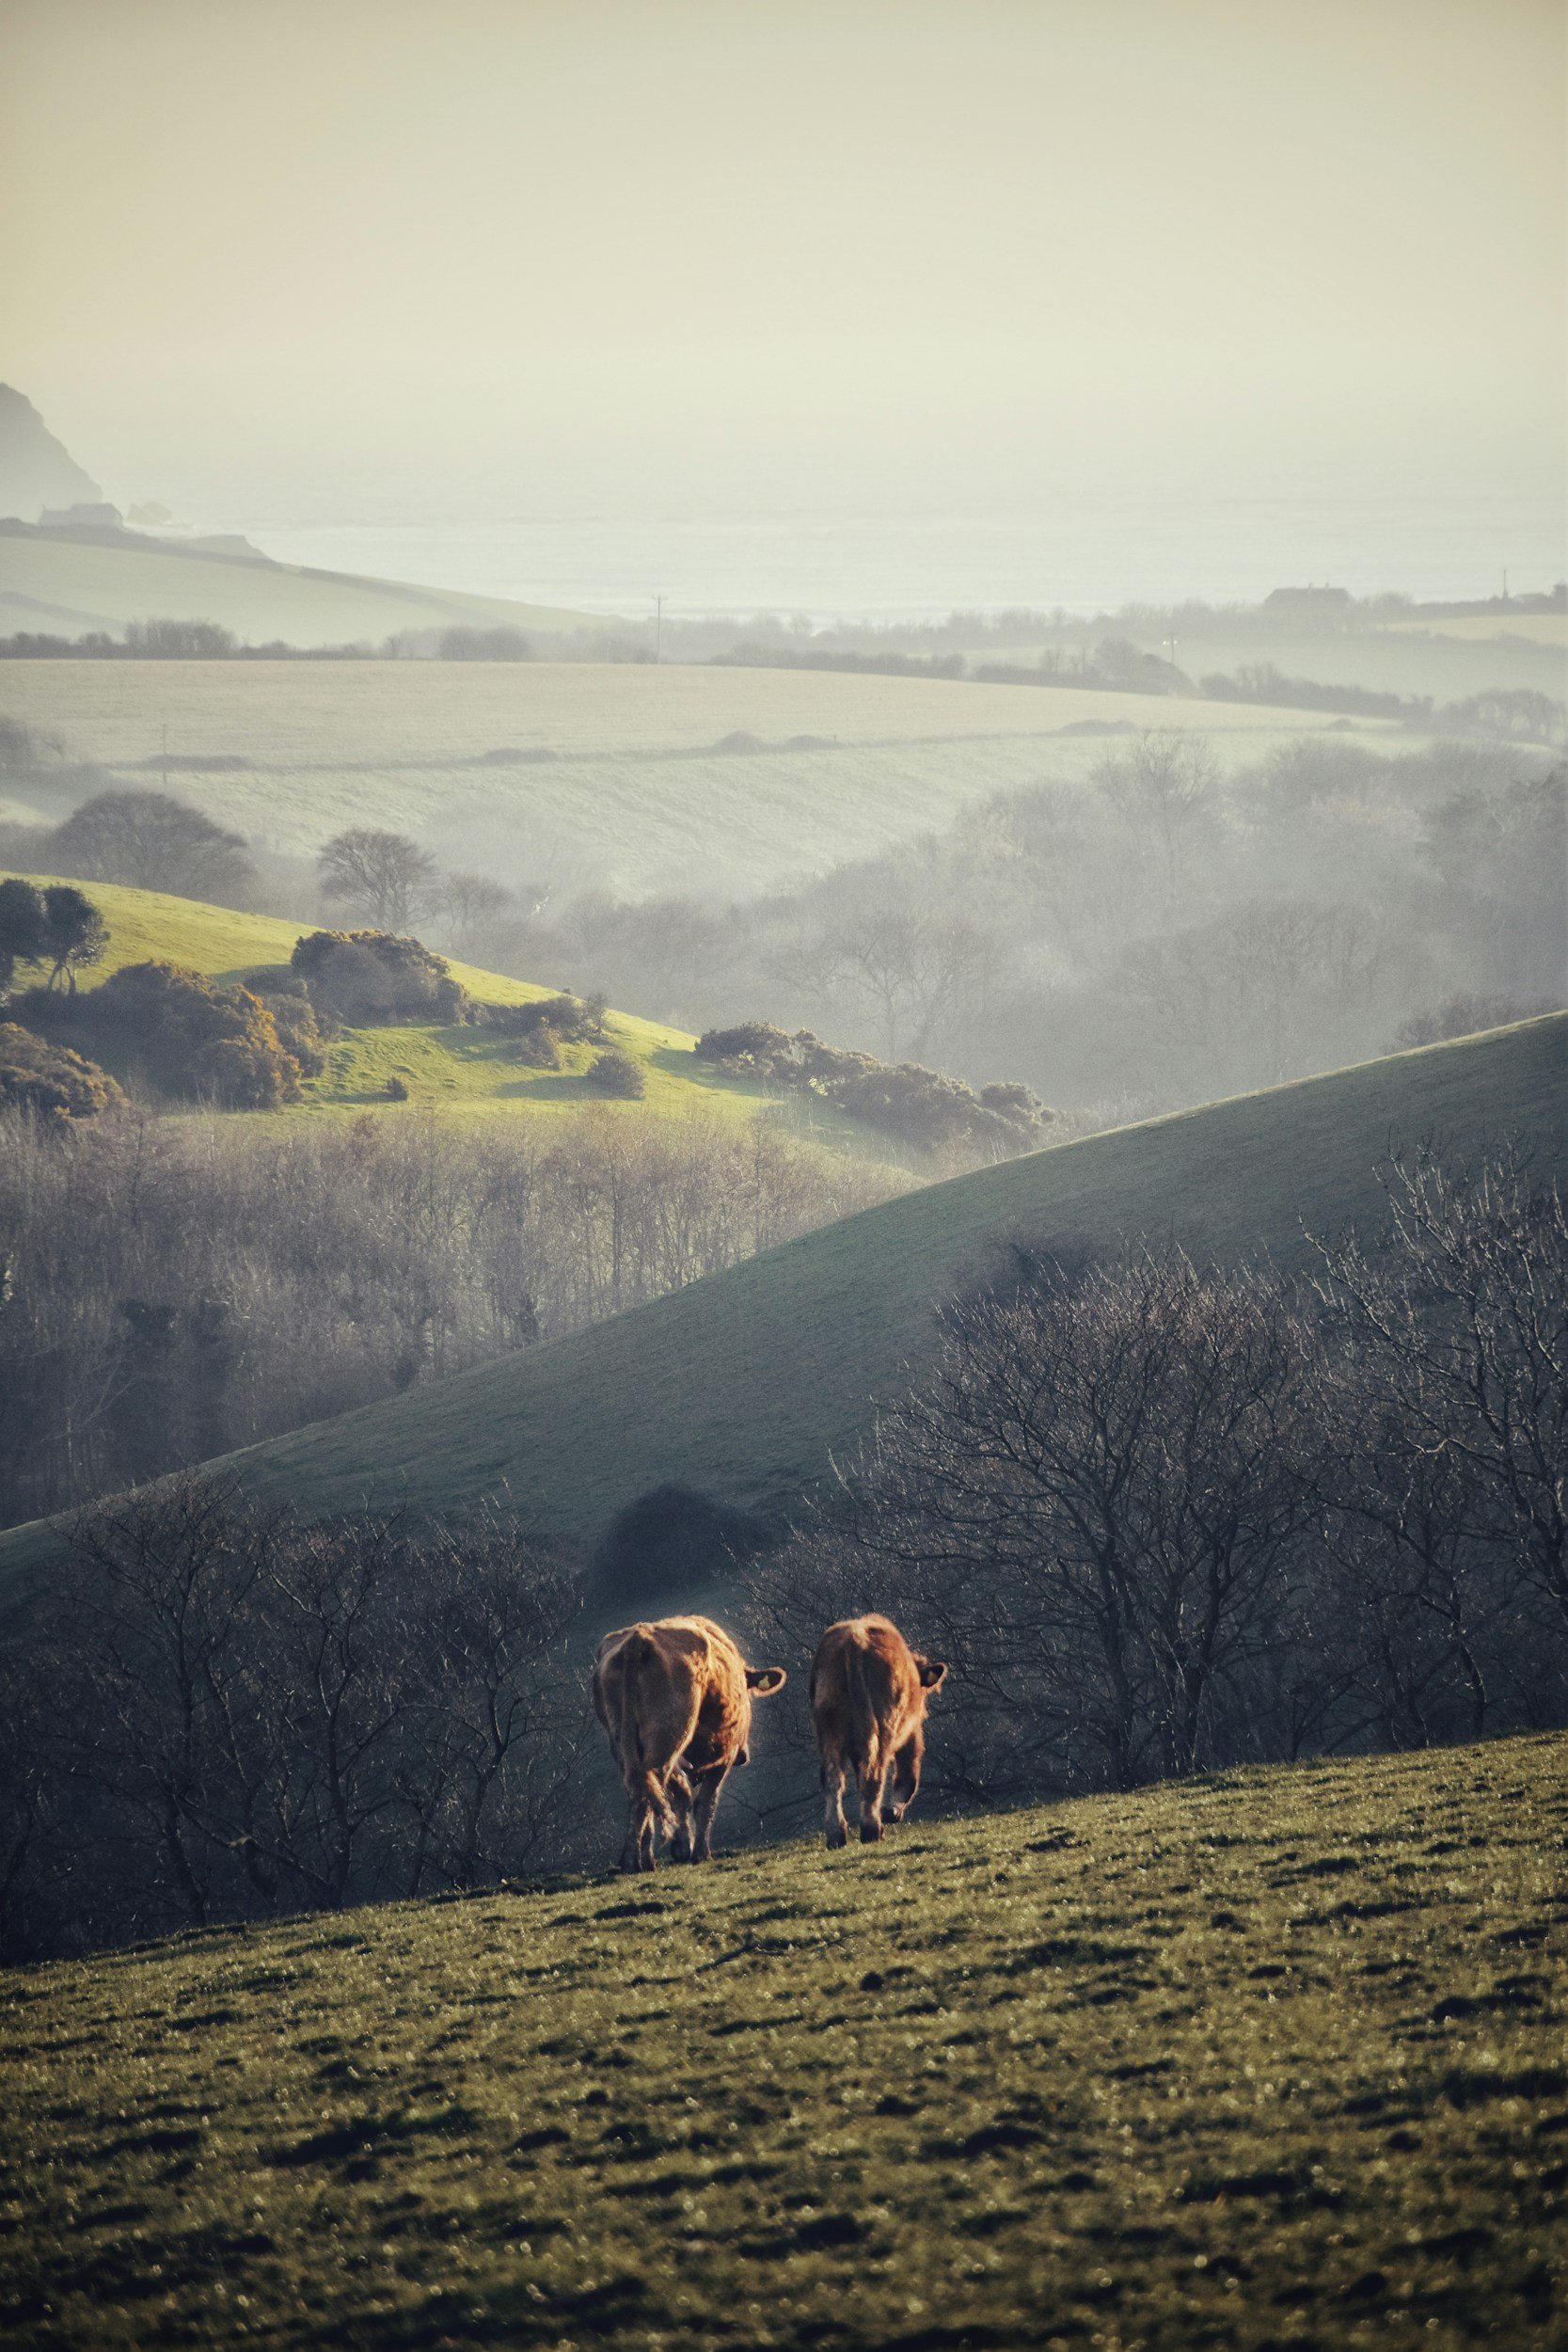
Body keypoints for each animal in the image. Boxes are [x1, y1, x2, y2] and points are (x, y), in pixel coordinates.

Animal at [591, 1614, 787, 1873]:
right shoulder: (724, 1755)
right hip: (668, 1738)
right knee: (651, 1790)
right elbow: (705, 1802)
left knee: (641, 1789)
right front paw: (699, 1852)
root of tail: (638, 1639)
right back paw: (635, 1861)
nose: (743, 1756)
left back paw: (640, 1859)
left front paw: (683, 1846)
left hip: (623, 1744)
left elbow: (681, 1796)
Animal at [809, 1613, 948, 1849]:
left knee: (833, 1778)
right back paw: (872, 1829)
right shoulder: (911, 1733)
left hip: (829, 1727)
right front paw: (892, 1812)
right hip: (883, 1725)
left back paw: (837, 1835)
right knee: (874, 1773)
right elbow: (908, 1774)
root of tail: (855, 1638)